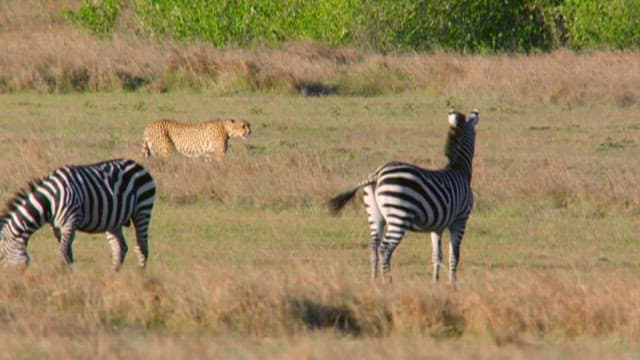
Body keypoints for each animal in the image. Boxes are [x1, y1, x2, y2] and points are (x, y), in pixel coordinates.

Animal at [0, 158, 155, 270]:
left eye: (1, 257)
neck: (51, 199)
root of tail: (139, 165)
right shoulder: (56, 227)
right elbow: (67, 252)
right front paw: (69, 273)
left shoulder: (70, 221)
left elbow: (63, 252)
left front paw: (63, 275)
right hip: (113, 219)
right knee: (120, 248)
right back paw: (113, 274)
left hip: (142, 209)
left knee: (142, 247)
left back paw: (141, 275)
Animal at [328, 108, 478, 282]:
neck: (459, 169)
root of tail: (377, 174)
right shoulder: (460, 220)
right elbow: (454, 255)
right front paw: (452, 283)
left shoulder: (437, 226)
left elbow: (437, 255)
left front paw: (435, 281)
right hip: (398, 215)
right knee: (384, 248)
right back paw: (388, 282)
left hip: (375, 215)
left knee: (373, 247)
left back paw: (374, 281)